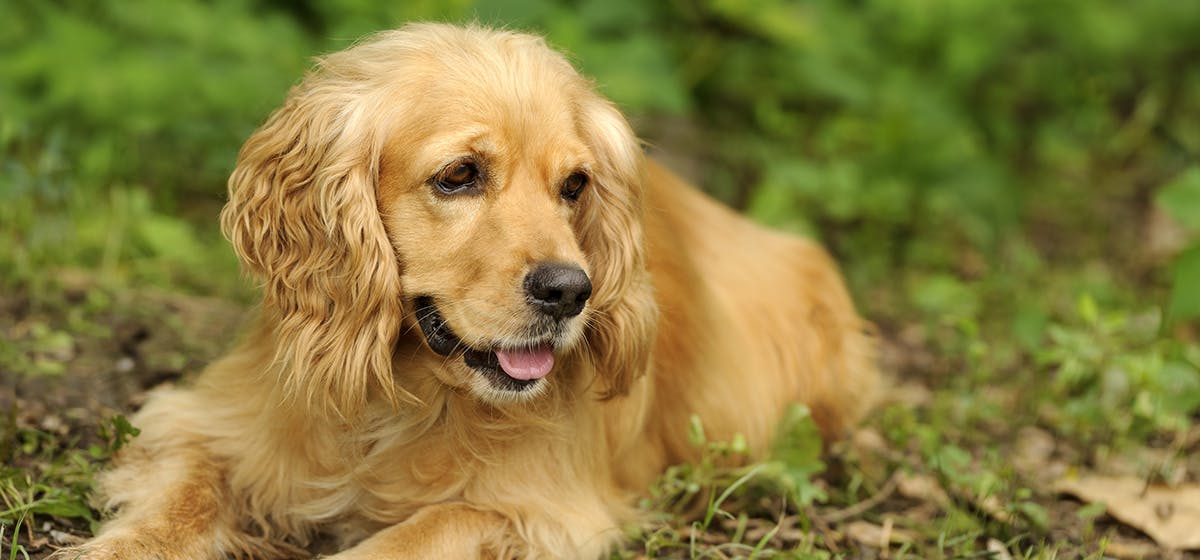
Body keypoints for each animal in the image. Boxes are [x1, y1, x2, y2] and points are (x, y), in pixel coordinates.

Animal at [60, 23, 878, 560]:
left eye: (574, 185)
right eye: (458, 175)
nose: (570, 292)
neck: (402, 399)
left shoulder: (542, 511)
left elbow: (412, 534)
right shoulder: (203, 425)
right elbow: (174, 505)